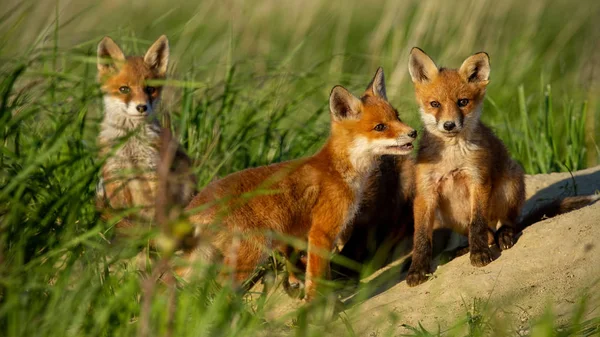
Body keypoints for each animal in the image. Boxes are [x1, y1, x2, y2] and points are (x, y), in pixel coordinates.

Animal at [95, 35, 196, 230]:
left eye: (150, 89)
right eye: (124, 89)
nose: (141, 107)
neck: (131, 144)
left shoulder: (153, 170)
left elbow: (155, 213)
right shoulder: (115, 174)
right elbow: (121, 217)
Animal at [186, 67, 418, 300]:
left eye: (397, 116)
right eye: (380, 127)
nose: (413, 132)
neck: (338, 171)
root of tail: (193, 205)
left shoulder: (305, 235)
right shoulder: (321, 231)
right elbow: (316, 278)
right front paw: (317, 307)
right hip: (251, 253)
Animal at [406, 46, 596, 286]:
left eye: (462, 102)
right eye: (435, 104)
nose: (449, 125)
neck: (452, 158)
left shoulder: (478, 180)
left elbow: (477, 224)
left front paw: (479, 253)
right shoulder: (426, 191)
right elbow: (421, 238)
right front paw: (417, 270)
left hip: (510, 185)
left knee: (504, 226)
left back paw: (503, 236)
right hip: (448, 214)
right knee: (487, 234)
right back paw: (461, 249)